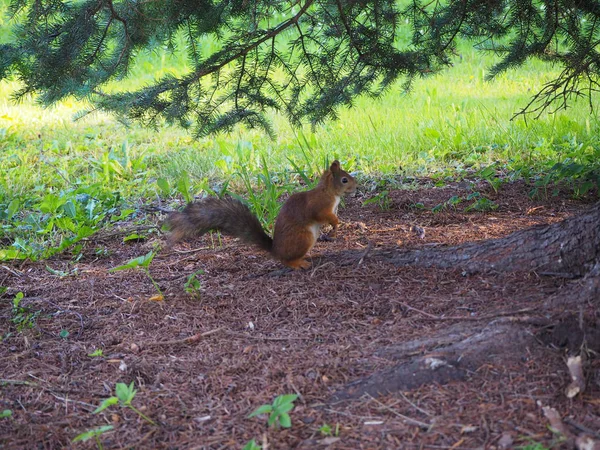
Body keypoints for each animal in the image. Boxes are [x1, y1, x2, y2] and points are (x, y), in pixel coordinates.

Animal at [168, 160, 356, 268]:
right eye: (344, 179)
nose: (357, 185)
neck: (329, 192)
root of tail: (275, 250)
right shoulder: (319, 206)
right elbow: (322, 216)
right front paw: (335, 223)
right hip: (303, 237)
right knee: (286, 260)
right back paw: (298, 264)